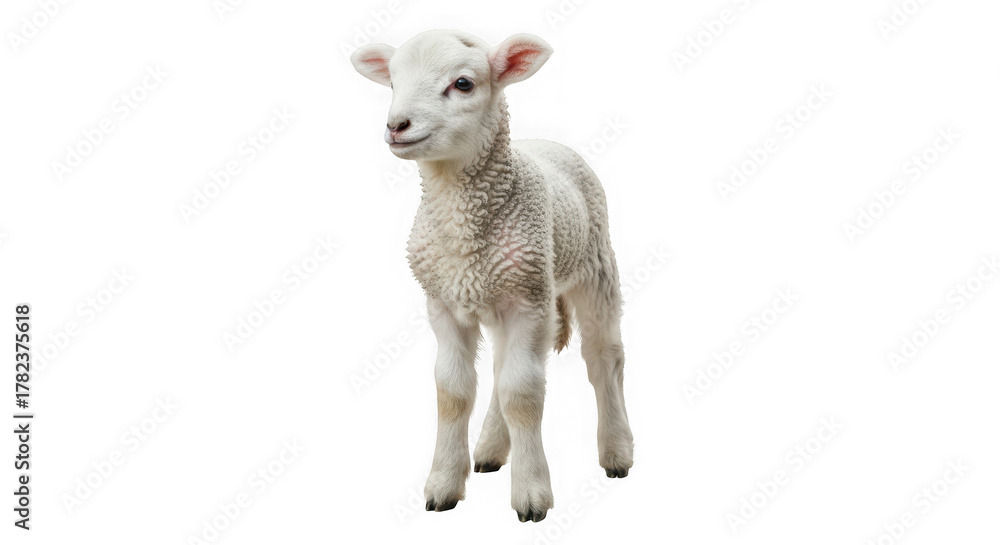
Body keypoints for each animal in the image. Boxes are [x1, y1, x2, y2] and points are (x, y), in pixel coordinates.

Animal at [350, 30, 633, 522]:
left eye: (463, 83)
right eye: (393, 82)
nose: (397, 125)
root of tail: (546, 142)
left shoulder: (528, 301)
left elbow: (522, 394)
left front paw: (532, 493)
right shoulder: (444, 302)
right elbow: (454, 392)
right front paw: (443, 484)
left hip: (593, 268)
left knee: (604, 358)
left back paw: (617, 451)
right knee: (504, 367)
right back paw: (490, 451)